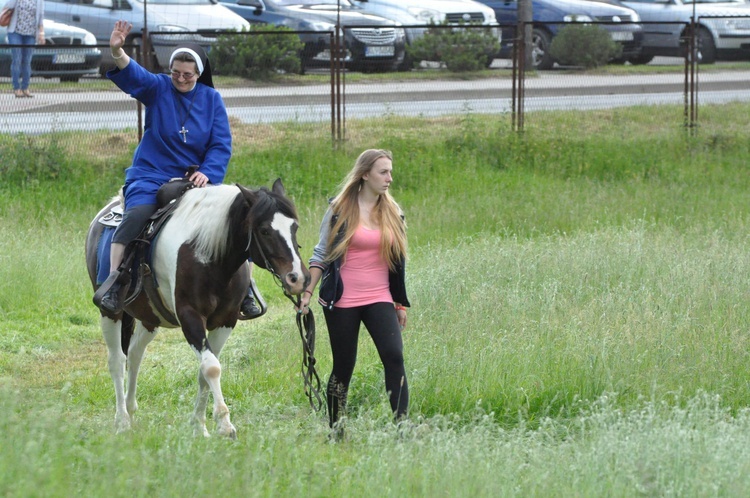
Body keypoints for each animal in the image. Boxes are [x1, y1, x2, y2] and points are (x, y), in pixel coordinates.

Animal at [85, 179, 312, 436]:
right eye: (264, 230)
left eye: (294, 227)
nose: (298, 278)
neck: (207, 255)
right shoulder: (190, 318)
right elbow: (211, 367)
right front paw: (224, 424)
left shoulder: (225, 322)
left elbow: (205, 371)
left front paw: (200, 426)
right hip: (110, 313)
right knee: (117, 361)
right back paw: (122, 421)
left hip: (150, 319)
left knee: (134, 355)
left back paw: (131, 409)